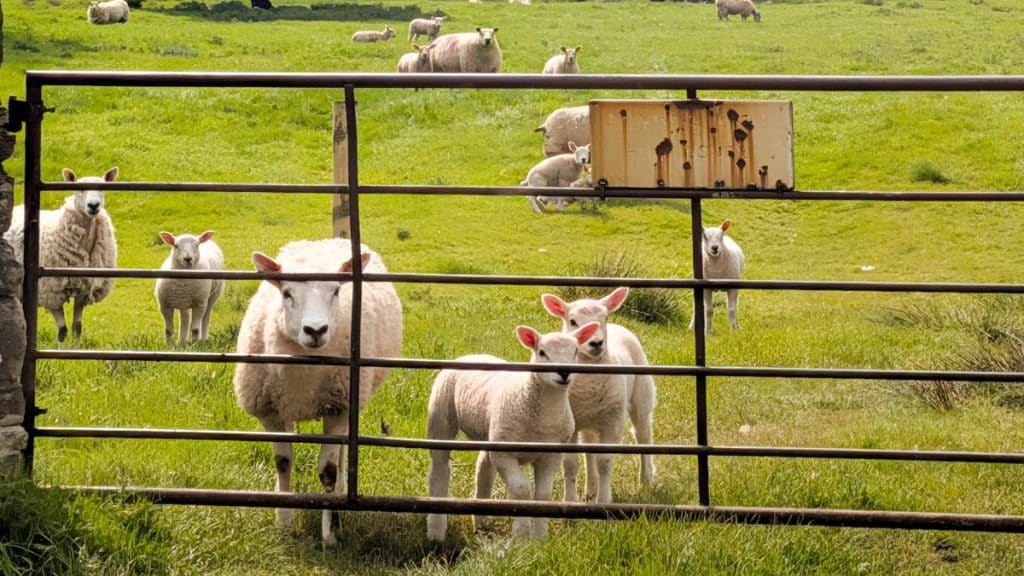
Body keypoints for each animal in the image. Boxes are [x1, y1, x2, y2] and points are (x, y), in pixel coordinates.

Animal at [4, 167, 118, 345]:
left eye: (102, 188)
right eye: (80, 189)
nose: (93, 205)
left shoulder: (84, 291)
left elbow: (77, 328)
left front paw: (75, 349)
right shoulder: (50, 293)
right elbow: (62, 331)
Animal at [233, 238, 403, 546]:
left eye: (336, 291)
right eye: (286, 293)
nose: (316, 330)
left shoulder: (339, 408)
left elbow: (328, 471)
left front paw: (329, 533)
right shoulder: (270, 412)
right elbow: (283, 462)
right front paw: (284, 520)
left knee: (341, 454)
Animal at [426, 321, 601, 542]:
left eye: (575, 350)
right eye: (542, 352)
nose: (563, 372)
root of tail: (470, 355)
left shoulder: (550, 455)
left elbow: (543, 495)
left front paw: (540, 537)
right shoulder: (504, 454)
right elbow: (522, 489)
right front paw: (522, 535)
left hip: (492, 431)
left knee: (484, 467)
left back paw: (481, 523)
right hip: (441, 415)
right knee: (439, 469)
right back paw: (436, 530)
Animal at [542, 287, 658, 502]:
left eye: (604, 317)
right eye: (572, 321)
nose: (596, 343)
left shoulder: (613, 422)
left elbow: (604, 462)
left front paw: (603, 501)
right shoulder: (571, 424)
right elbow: (570, 464)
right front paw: (570, 500)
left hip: (641, 398)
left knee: (643, 435)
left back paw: (645, 481)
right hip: (590, 420)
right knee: (589, 449)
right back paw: (591, 488)